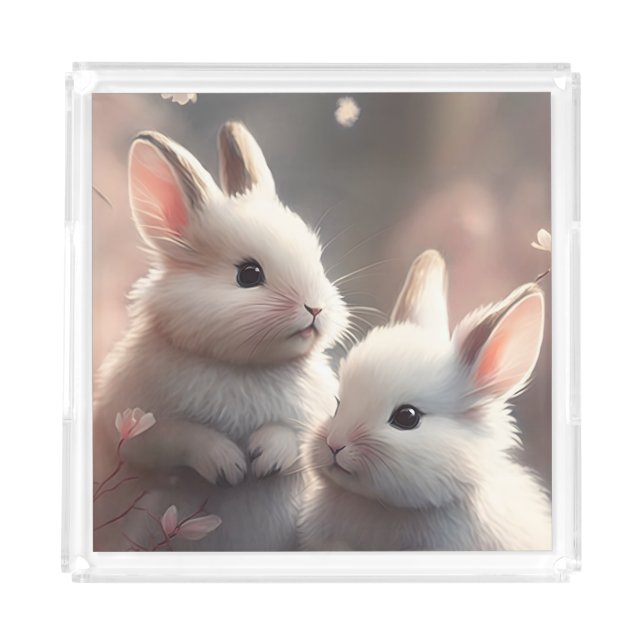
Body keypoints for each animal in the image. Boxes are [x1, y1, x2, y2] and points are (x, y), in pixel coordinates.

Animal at [93, 121, 349, 551]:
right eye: (248, 274)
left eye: (317, 261)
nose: (315, 309)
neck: (244, 367)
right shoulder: (134, 422)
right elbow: (178, 436)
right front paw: (229, 465)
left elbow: (302, 437)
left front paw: (267, 456)